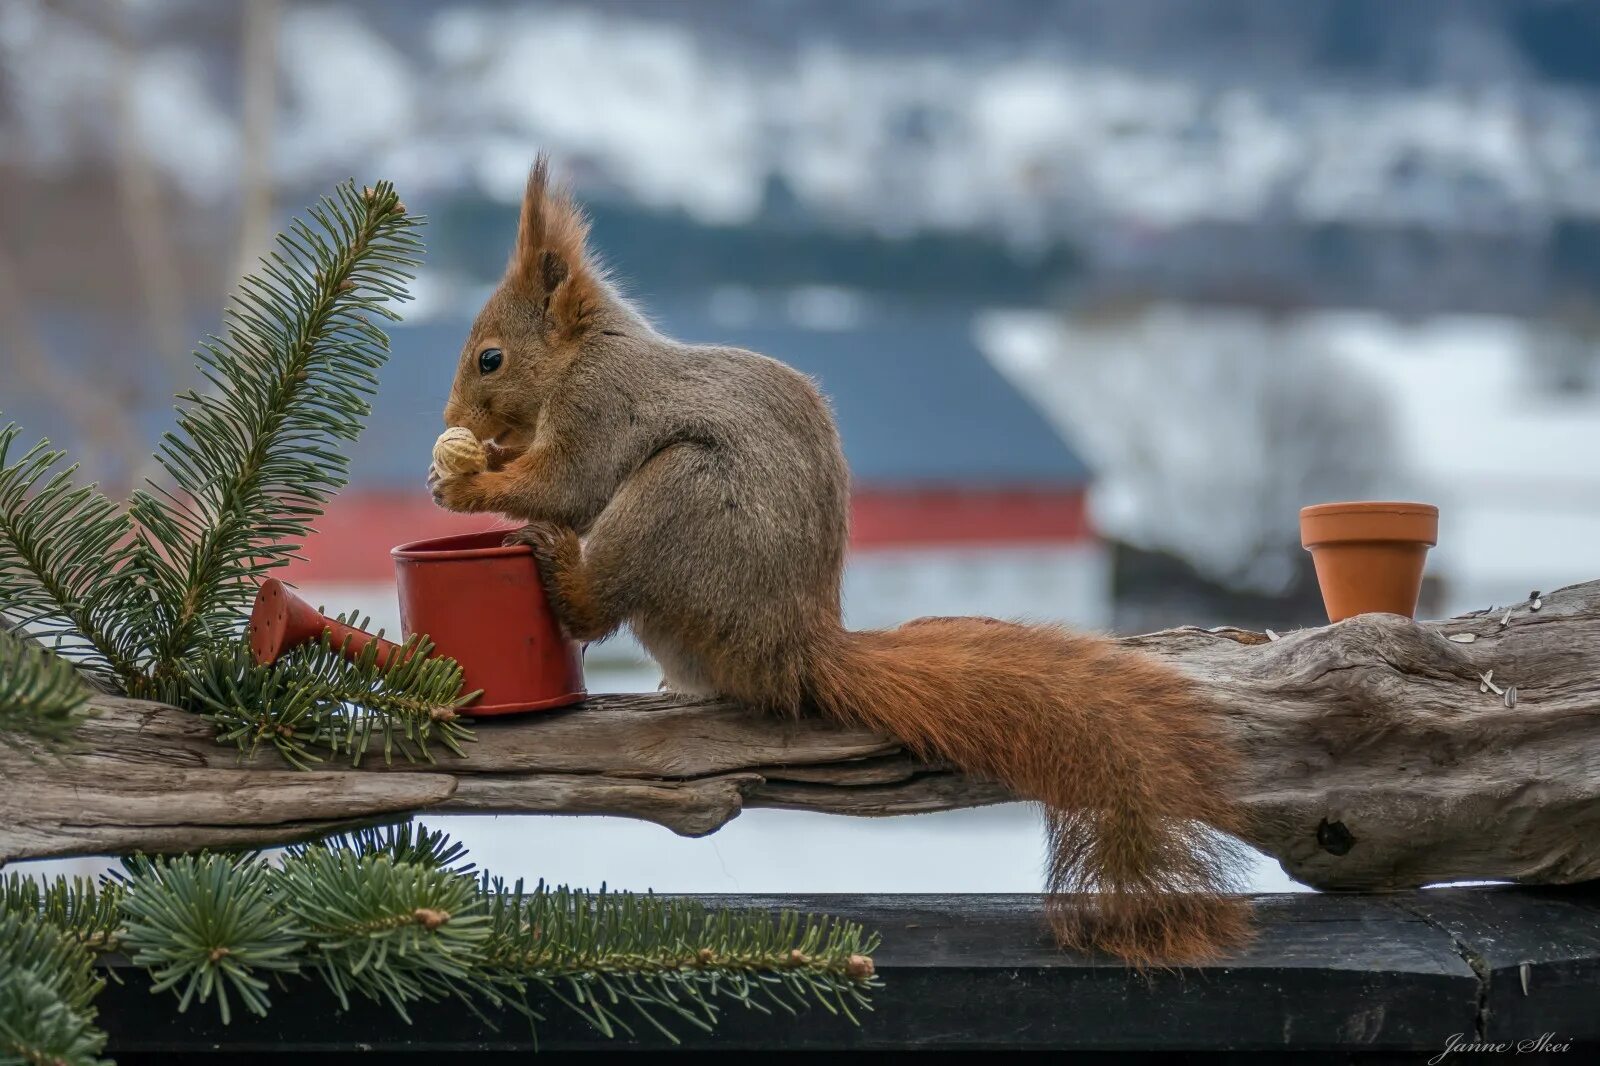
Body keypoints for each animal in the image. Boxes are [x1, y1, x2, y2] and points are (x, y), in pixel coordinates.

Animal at [432, 157, 1254, 960]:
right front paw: (480, 458)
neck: (588, 351)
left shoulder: (601, 408)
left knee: (595, 606)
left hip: (679, 499)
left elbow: (567, 486)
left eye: (490, 359)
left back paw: (561, 569)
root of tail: (797, 648)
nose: (452, 422)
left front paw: (468, 479)